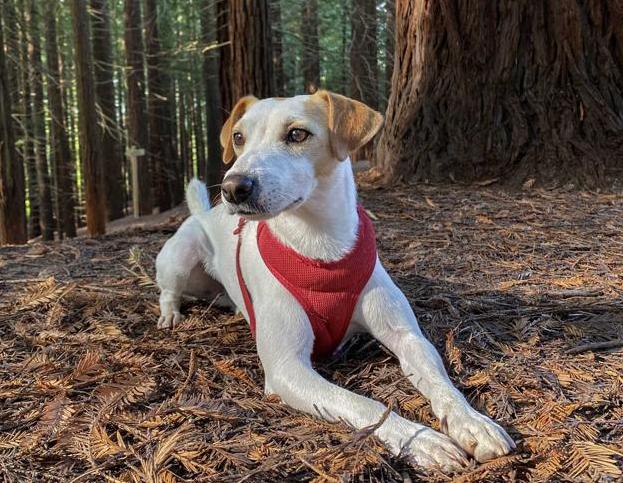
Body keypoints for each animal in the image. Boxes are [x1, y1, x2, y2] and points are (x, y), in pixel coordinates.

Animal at [156, 91, 516, 472]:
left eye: (297, 134)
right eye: (238, 137)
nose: (233, 187)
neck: (320, 247)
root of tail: (204, 212)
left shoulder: (409, 339)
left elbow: (441, 383)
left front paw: (473, 422)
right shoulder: (287, 368)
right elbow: (364, 404)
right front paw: (424, 442)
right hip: (180, 256)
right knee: (169, 289)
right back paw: (170, 314)